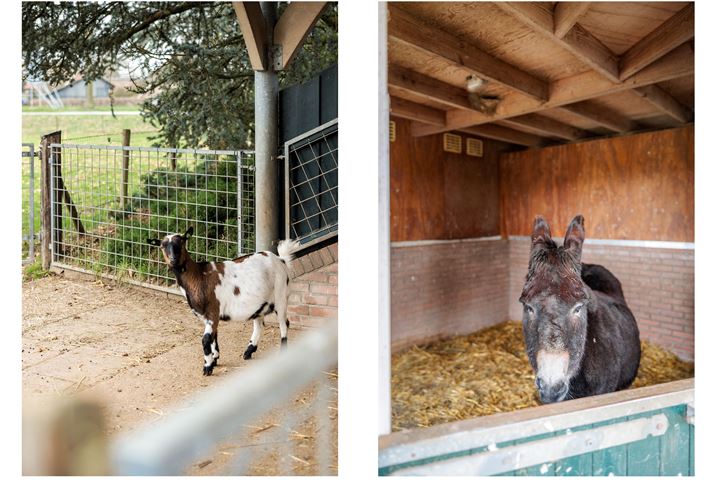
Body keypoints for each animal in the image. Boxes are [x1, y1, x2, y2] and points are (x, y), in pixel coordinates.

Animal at [149, 228, 300, 376]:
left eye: (181, 241)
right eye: (162, 245)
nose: (173, 259)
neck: (199, 277)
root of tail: (281, 259)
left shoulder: (213, 311)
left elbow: (206, 340)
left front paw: (207, 367)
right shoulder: (208, 317)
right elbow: (214, 337)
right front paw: (215, 359)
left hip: (281, 294)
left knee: (284, 323)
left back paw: (282, 351)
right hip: (260, 304)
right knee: (259, 324)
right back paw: (248, 351)